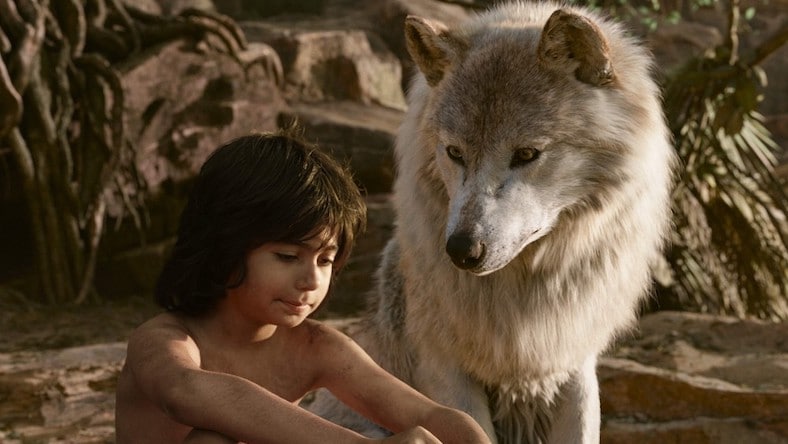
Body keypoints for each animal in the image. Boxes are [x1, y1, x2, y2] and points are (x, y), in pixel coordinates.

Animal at [309, 2, 676, 443]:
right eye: (454, 152)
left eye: (526, 154)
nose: (461, 250)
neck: (520, 301)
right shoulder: (447, 368)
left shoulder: (572, 363)